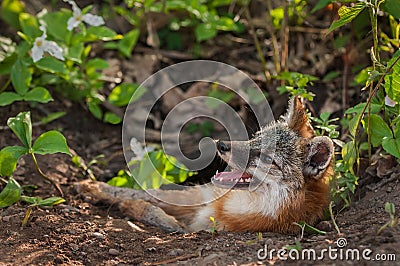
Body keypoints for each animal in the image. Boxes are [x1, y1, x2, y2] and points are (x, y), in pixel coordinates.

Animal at [77, 97, 334, 233]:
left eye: (268, 158)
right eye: (255, 138)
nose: (221, 144)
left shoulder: (197, 229)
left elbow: (156, 214)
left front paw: (132, 207)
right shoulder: (202, 195)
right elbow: (146, 193)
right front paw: (97, 188)